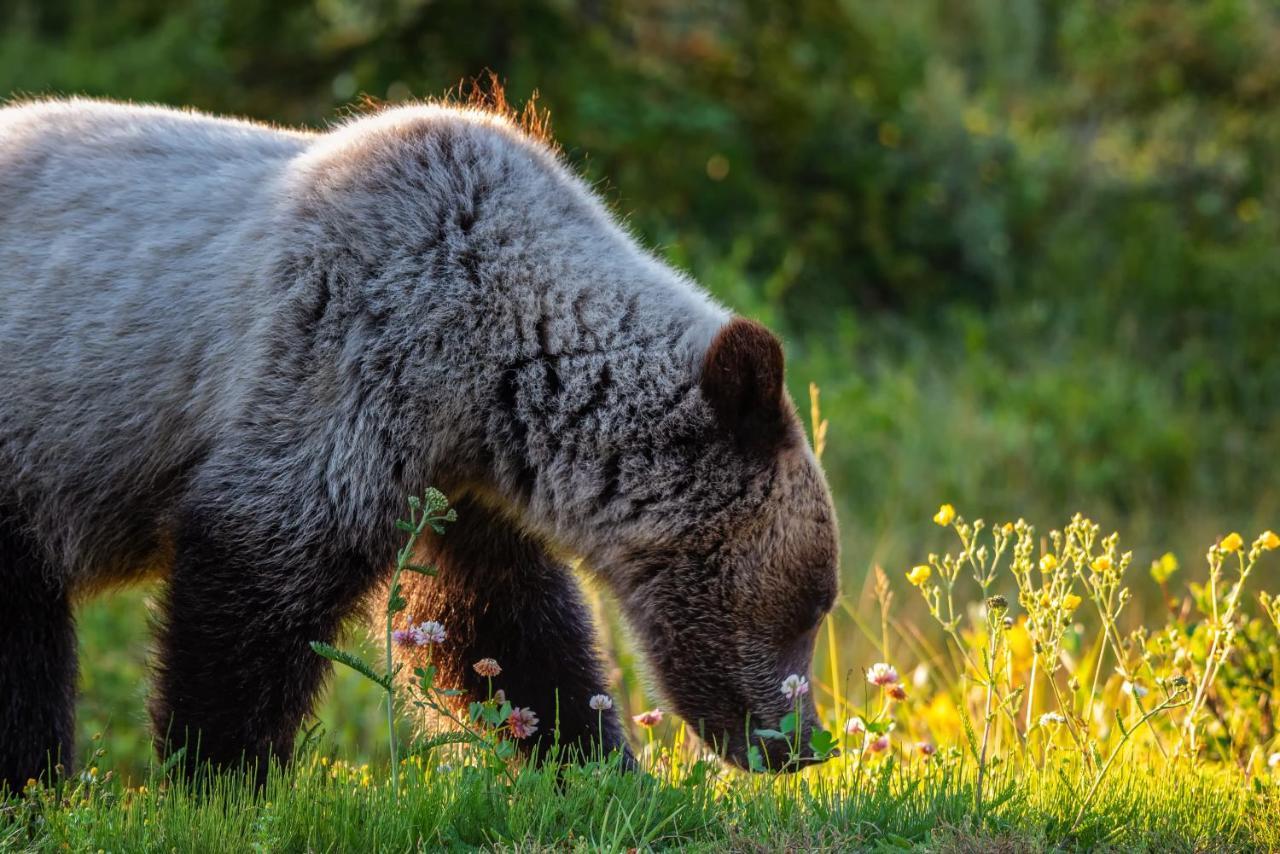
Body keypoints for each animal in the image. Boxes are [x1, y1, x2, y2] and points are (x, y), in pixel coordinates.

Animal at [0, 95, 839, 788]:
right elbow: (254, 585)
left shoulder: (462, 480)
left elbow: (501, 631)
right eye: (812, 604)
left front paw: (601, 771)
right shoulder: (341, 360)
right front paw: (221, 780)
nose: (799, 745)